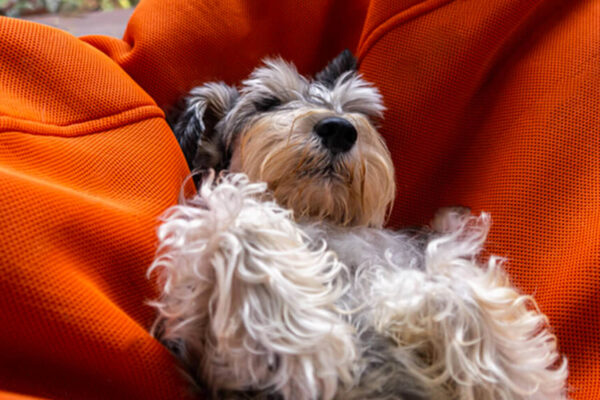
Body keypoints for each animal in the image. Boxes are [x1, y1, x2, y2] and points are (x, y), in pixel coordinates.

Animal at [149, 51, 568, 398]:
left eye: (353, 109)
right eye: (268, 103)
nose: (339, 128)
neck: (316, 215)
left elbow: (455, 288)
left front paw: (518, 380)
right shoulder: (215, 363)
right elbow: (239, 222)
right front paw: (306, 345)